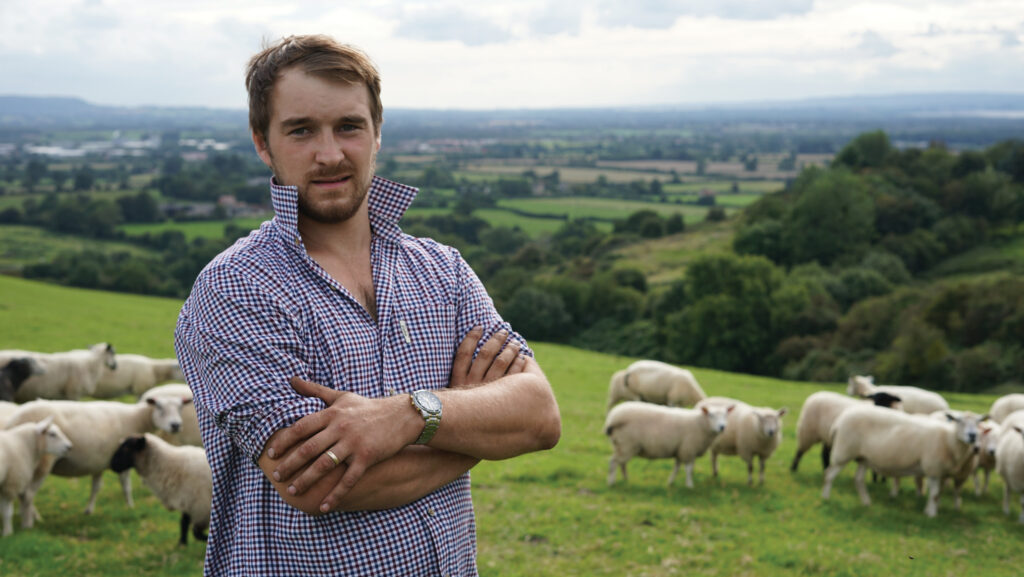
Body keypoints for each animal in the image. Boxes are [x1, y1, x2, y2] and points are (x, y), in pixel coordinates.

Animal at [6, 395, 192, 516]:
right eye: (159, 407)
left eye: (180, 407)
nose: (176, 425)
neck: (135, 418)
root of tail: (12, 421)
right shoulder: (123, 459)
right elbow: (126, 485)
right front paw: (130, 506)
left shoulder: (98, 461)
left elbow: (96, 487)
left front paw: (89, 510)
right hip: (43, 461)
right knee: (28, 493)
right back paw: (33, 518)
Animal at [602, 399, 733, 489]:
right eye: (711, 415)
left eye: (726, 415)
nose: (722, 427)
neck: (700, 423)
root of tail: (613, 417)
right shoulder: (688, 449)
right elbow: (688, 469)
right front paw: (689, 485)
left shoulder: (681, 450)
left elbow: (677, 467)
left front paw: (670, 482)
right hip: (626, 444)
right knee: (613, 462)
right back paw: (611, 482)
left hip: (621, 445)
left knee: (622, 463)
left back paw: (625, 479)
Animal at [819, 405, 978, 518]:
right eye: (959, 421)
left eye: (978, 423)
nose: (973, 436)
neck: (949, 439)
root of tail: (838, 421)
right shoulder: (933, 468)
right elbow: (934, 494)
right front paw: (932, 515)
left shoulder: (938, 472)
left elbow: (936, 494)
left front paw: (928, 511)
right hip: (844, 452)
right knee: (829, 474)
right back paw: (826, 498)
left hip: (863, 457)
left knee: (858, 480)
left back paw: (866, 502)